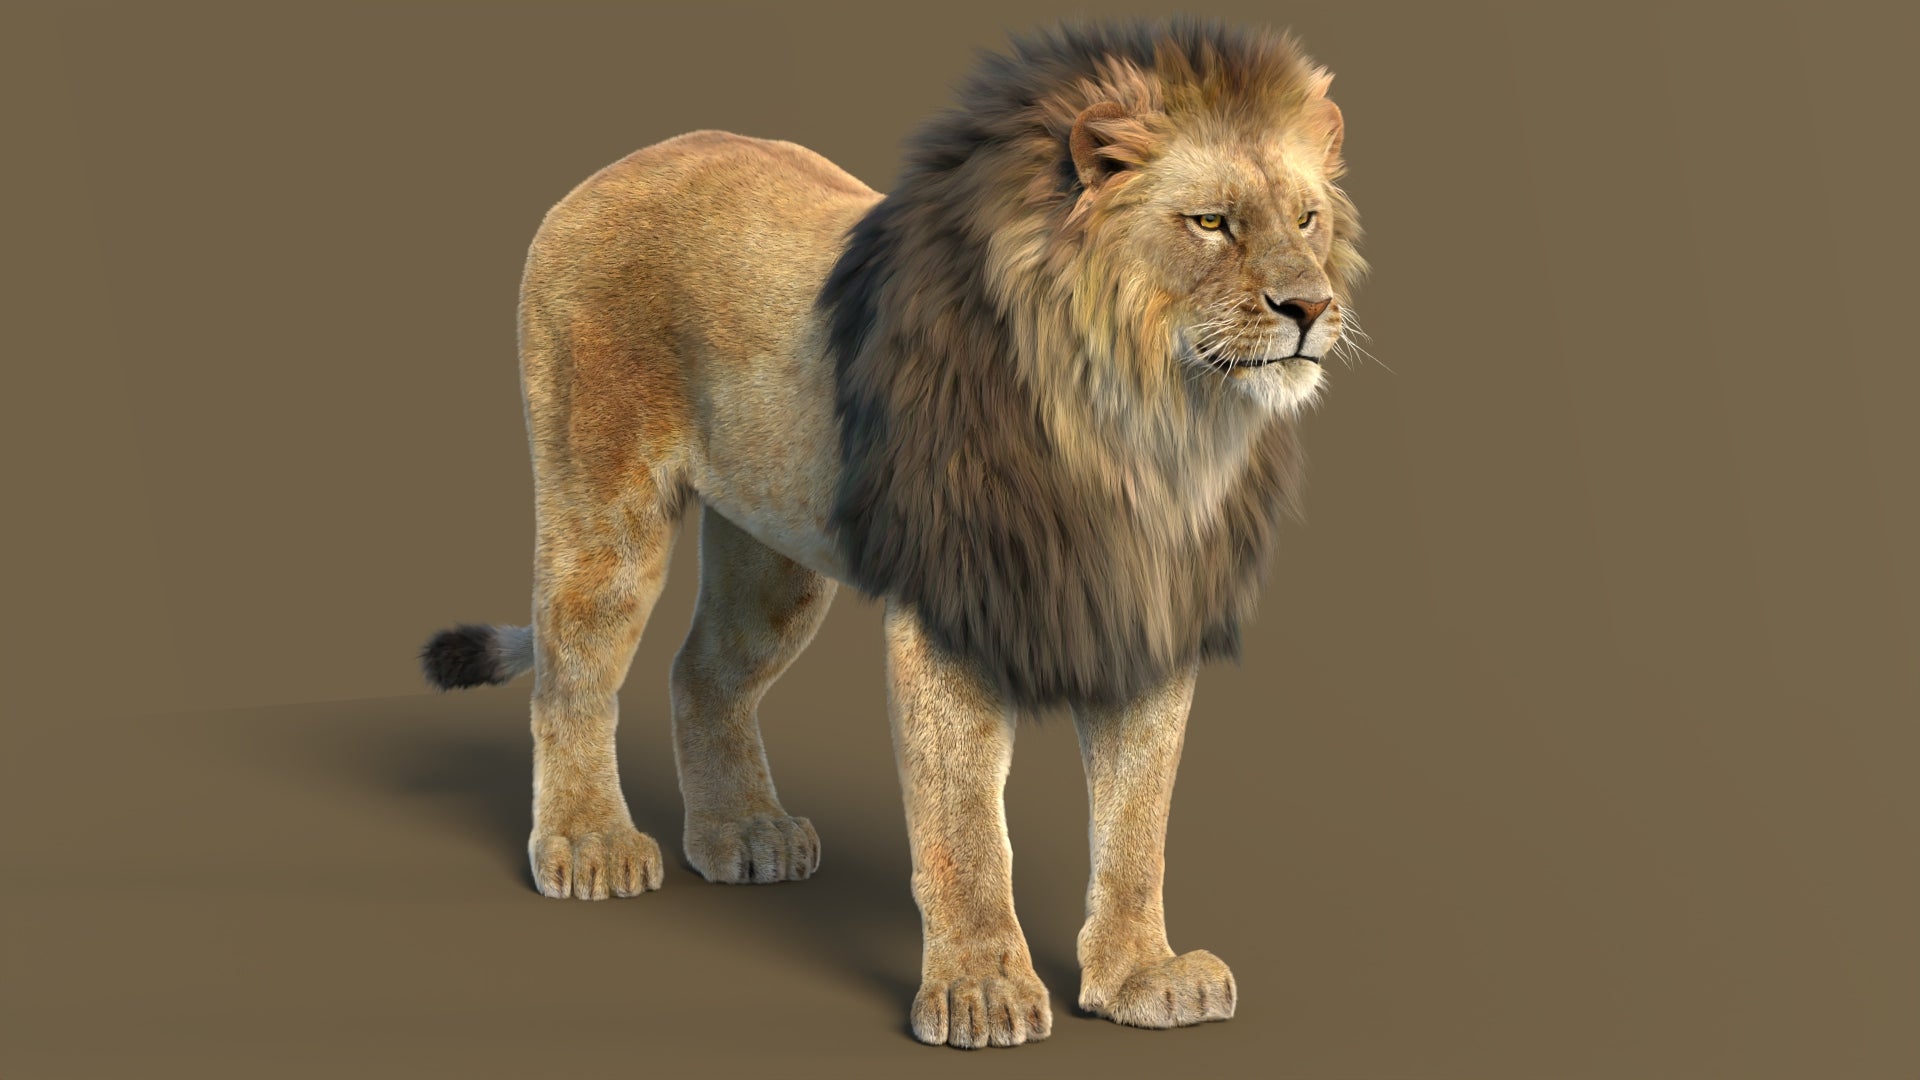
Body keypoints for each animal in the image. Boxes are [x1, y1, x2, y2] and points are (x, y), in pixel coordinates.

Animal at [420, 18, 1365, 1049]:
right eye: (1212, 223)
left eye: (1307, 220)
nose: (1311, 307)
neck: (1144, 426)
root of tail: (609, 170)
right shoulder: (955, 605)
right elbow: (962, 824)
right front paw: (981, 991)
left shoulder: (1146, 610)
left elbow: (1137, 819)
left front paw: (1139, 975)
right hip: (605, 502)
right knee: (573, 664)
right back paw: (589, 843)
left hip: (777, 554)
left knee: (699, 671)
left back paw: (742, 833)